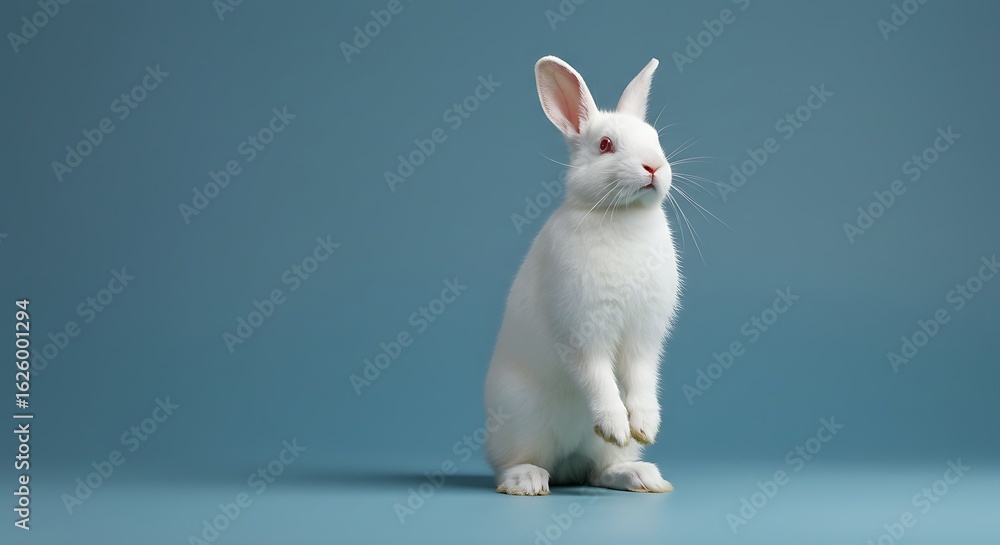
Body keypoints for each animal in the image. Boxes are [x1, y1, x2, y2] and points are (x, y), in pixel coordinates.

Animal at [484, 55, 681, 495]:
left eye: (655, 138)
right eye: (605, 145)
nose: (654, 167)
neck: (623, 217)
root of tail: (566, 464)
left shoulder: (645, 337)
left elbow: (641, 377)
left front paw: (643, 427)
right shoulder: (581, 333)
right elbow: (597, 378)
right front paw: (616, 425)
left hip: (589, 453)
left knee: (598, 470)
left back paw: (641, 475)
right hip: (521, 419)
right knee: (511, 465)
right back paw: (528, 481)